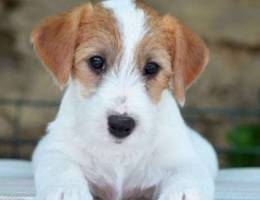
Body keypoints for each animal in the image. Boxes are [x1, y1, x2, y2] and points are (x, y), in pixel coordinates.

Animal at [31, 0, 218, 200]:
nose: (120, 124)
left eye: (152, 67)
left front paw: (182, 193)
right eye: (96, 61)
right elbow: (62, 168)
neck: (119, 154)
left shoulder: (183, 159)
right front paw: (68, 191)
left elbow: (187, 177)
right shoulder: (55, 150)